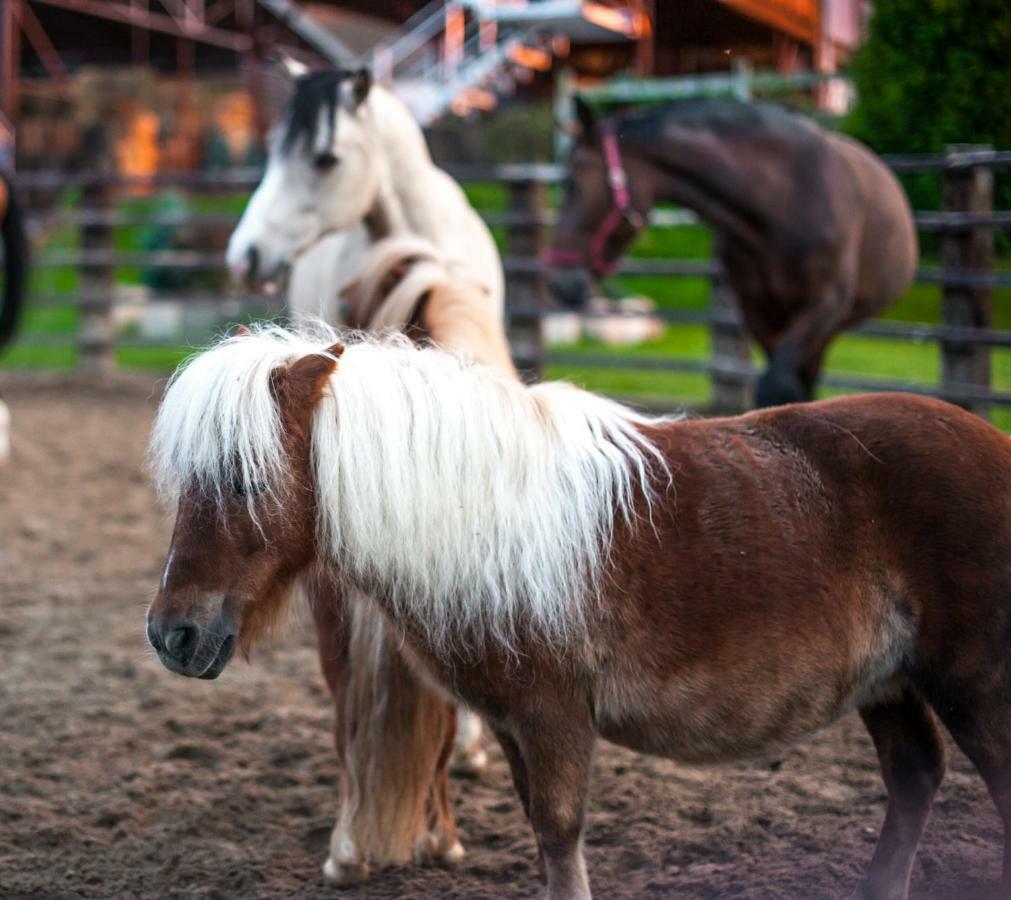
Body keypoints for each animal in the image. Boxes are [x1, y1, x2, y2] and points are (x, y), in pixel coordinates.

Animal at [146, 323, 1011, 897]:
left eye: (245, 480)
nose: (172, 634)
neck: (482, 520)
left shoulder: (554, 717)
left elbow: (559, 836)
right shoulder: (507, 722)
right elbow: (540, 829)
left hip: (971, 689)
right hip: (888, 684)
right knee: (913, 777)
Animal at [549, 98, 922, 406]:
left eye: (572, 185)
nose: (561, 281)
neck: (780, 201)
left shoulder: (824, 305)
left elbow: (777, 386)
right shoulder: (757, 311)